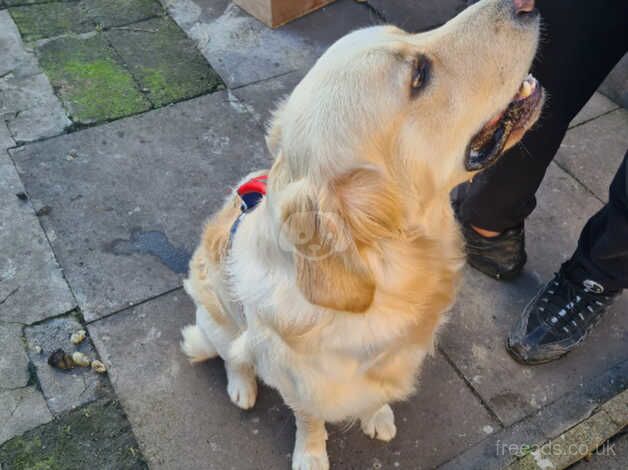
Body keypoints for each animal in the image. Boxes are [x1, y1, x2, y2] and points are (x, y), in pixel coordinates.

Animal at [182, 0, 544, 466]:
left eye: (407, 34)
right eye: (419, 75)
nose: (525, 4)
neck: (389, 267)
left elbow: (376, 394)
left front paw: (378, 415)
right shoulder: (300, 381)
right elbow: (309, 420)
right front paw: (311, 455)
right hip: (217, 319)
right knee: (232, 355)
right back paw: (241, 386)